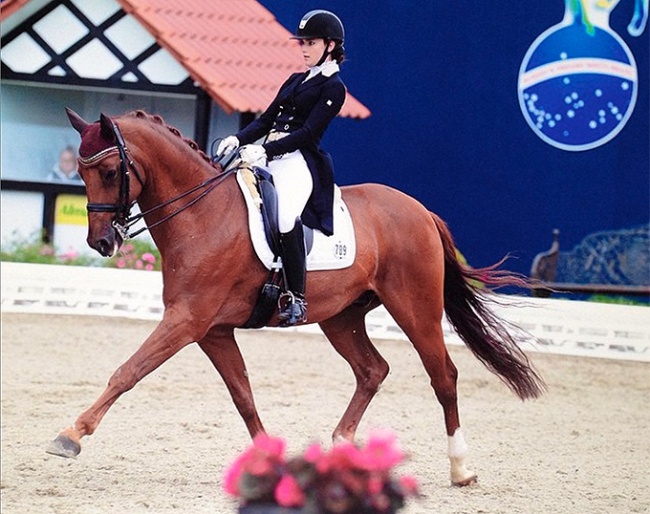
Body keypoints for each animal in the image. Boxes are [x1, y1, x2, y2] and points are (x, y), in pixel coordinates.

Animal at [46, 108, 540, 484]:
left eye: (110, 171)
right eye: (82, 172)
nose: (101, 242)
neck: (202, 214)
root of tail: (420, 210)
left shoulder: (186, 320)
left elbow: (127, 372)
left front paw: (70, 435)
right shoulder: (212, 330)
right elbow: (242, 395)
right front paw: (270, 460)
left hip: (416, 309)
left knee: (444, 377)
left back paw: (461, 469)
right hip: (341, 317)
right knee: (372, 370)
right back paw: (341, 449)